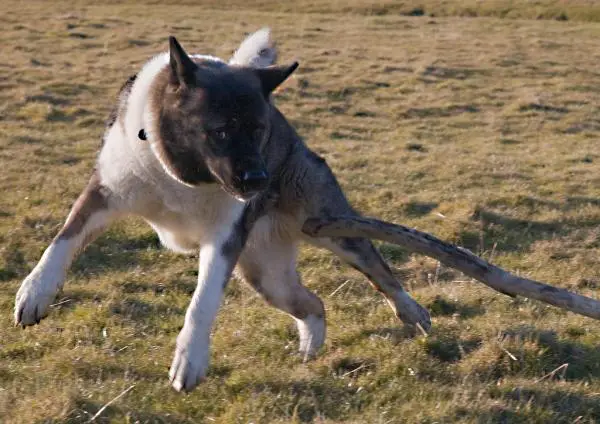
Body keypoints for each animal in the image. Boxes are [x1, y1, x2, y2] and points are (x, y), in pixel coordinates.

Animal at [11, 28, 428, 390]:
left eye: (260, 130)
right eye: (221, 131)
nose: (259, 180)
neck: (180, 177)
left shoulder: (224, 238)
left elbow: (203, 301)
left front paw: (190, 360)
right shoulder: (105, 192)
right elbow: (63, 240)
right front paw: (34, 293)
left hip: (326, 229)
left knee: (379, 271)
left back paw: (413, 313)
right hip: (267, 276)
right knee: (313, 303)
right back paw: (310, 349)